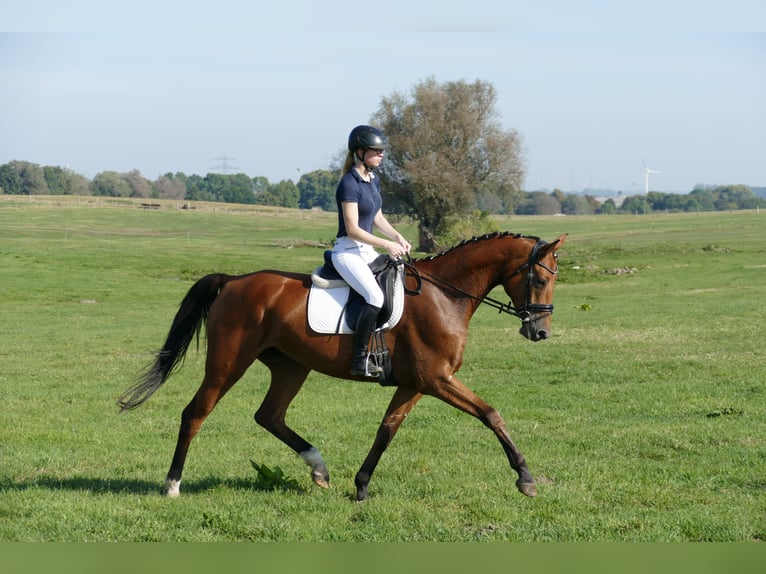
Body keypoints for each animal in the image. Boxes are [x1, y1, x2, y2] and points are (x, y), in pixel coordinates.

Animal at [118, 232, 564, 502]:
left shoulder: (417, 384)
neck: (444, 295)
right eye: (541, 280)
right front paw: (525, 478)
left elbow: (386, 430)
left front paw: (362, 487)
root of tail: (233, 281)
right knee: (195, 413)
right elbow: (491, 414)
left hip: (291, 367)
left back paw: (318, 468)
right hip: (228, 365)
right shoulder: (437, 379)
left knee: (270, 416)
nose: (540, 332)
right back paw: (173, 483)